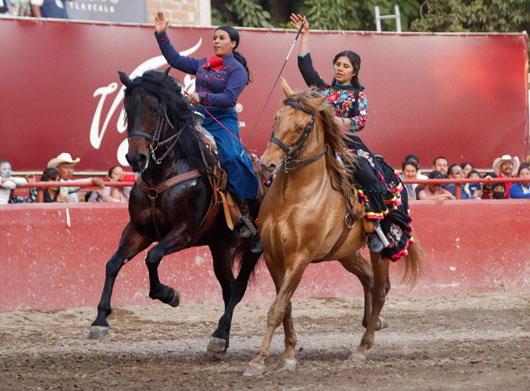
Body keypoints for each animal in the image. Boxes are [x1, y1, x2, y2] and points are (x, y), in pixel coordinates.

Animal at [89, 69, 262, 356]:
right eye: (127, 110)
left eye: (154, 110)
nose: (135, 158)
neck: (164, 172)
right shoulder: (138, 229)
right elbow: (113, 264)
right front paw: (100, 319)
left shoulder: (184, 232)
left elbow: (152, 257)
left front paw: (170, 294)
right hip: (220, 248)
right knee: (228, 289)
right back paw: (222, 337)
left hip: (252, 248)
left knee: (238, 288)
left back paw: (220, 335)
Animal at [242, 79, 420, 376]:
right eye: (276, 118)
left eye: (301, 127)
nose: (266, 164)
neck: (293, 198)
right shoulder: (273, 258)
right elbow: (285, 306)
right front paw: (288, 355)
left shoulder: (299, 258)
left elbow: (277, 309)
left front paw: (258, 361)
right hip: (346, 253)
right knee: (368, 278)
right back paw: (373, 321)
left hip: (382, 250)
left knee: (381, 289)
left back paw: (362, 348)